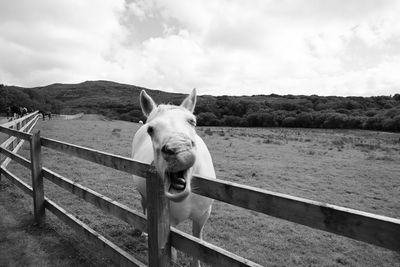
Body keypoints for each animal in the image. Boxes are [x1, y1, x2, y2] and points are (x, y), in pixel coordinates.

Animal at [132, 89, 216, 266]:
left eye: (192, 122)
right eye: (150, 129)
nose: (179, 150)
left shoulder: (202, 216)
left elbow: (196, 245)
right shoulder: (167, 220)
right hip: (144, 195)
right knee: (144, 205)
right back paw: (144, 233)